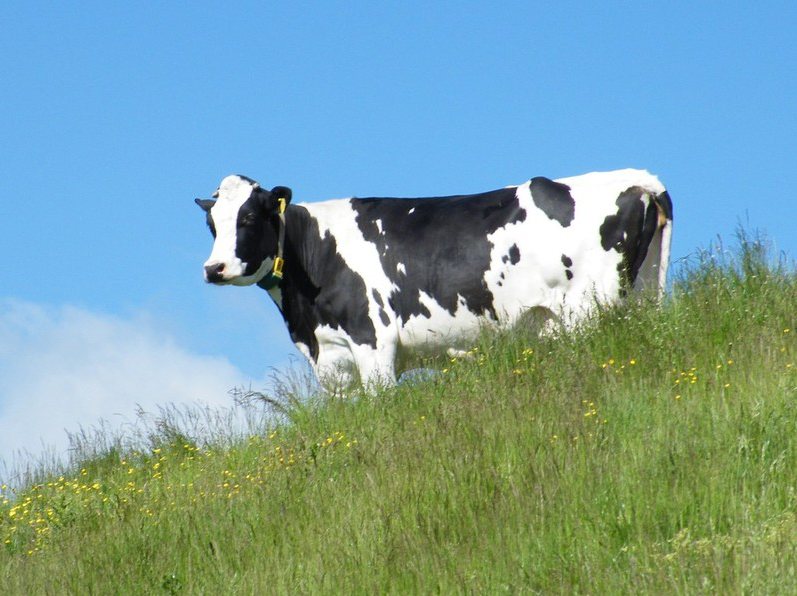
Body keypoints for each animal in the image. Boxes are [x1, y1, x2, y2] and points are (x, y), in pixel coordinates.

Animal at [196, 169, 673, 388]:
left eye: (249, 218)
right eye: (211, 224)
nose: (213, 269)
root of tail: (634, 179)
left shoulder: (374, 343)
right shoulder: (331, 359)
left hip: (591, 309)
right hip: (642, 296)